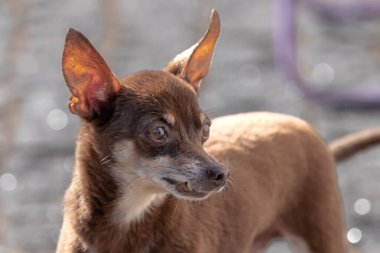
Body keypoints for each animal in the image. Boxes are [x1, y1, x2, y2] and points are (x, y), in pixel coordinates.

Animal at [55, 8, 380, 252]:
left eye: (206, 130)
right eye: (158, 132)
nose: (221, 173)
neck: (130, 215)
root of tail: (307, 129)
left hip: (321, 232)